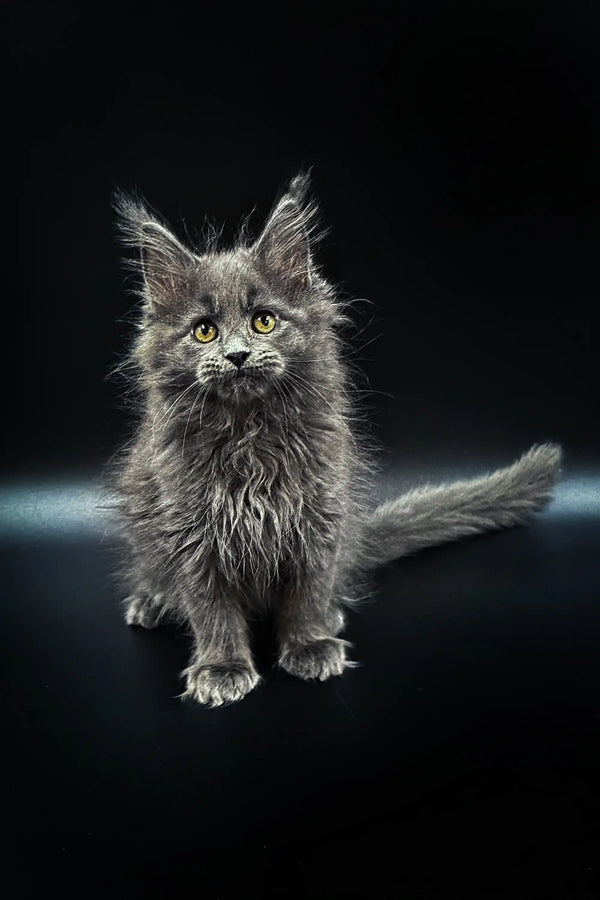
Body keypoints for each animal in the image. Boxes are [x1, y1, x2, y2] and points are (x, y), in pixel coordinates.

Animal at [113, 172, 564, 708]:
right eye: (204, 331)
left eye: (263, 320)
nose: (238, 355)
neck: (250, 437)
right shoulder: (190, 528)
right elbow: (211, 606)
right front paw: (221, 667)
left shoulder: (319, 514)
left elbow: (308, 590)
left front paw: (309, 644)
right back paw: (154, 600)